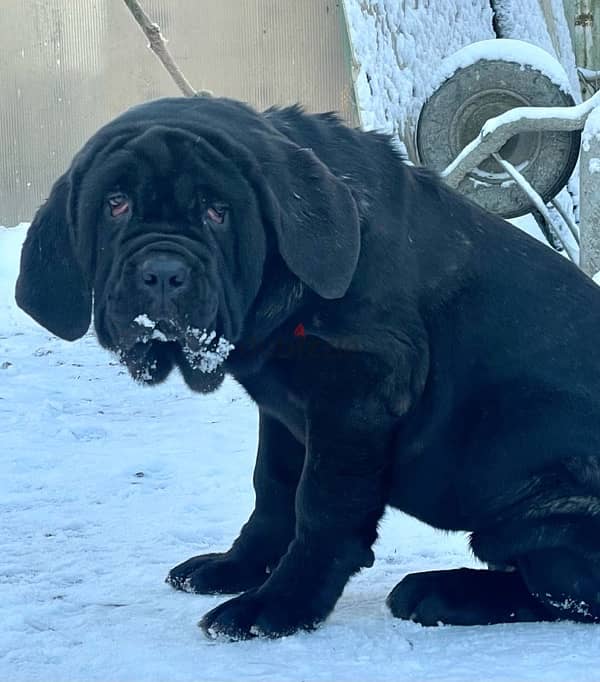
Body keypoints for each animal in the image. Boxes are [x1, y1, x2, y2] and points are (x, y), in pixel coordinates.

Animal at [15, 95, 600, 636]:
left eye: (217, 212)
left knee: (563, 594)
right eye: (115, 204)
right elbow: (272, 489)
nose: (162, 273)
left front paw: (276, 606)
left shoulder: (356, 394)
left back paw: (441, 593)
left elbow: (321, 508)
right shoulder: (283, 409)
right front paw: (236, 567)